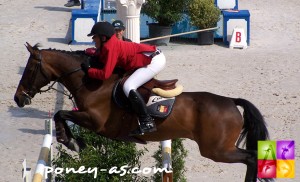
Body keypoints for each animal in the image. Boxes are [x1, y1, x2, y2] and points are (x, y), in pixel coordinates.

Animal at [14, 43, 272, 182]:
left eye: (30, 69)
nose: (18, 98)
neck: (92, 82)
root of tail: (231, 102)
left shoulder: (95, 121)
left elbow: (62, 115)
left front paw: (72, 142)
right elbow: (62, 116)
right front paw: (73, 141)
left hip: (217, 150)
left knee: (251, 157)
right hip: (218, 149)